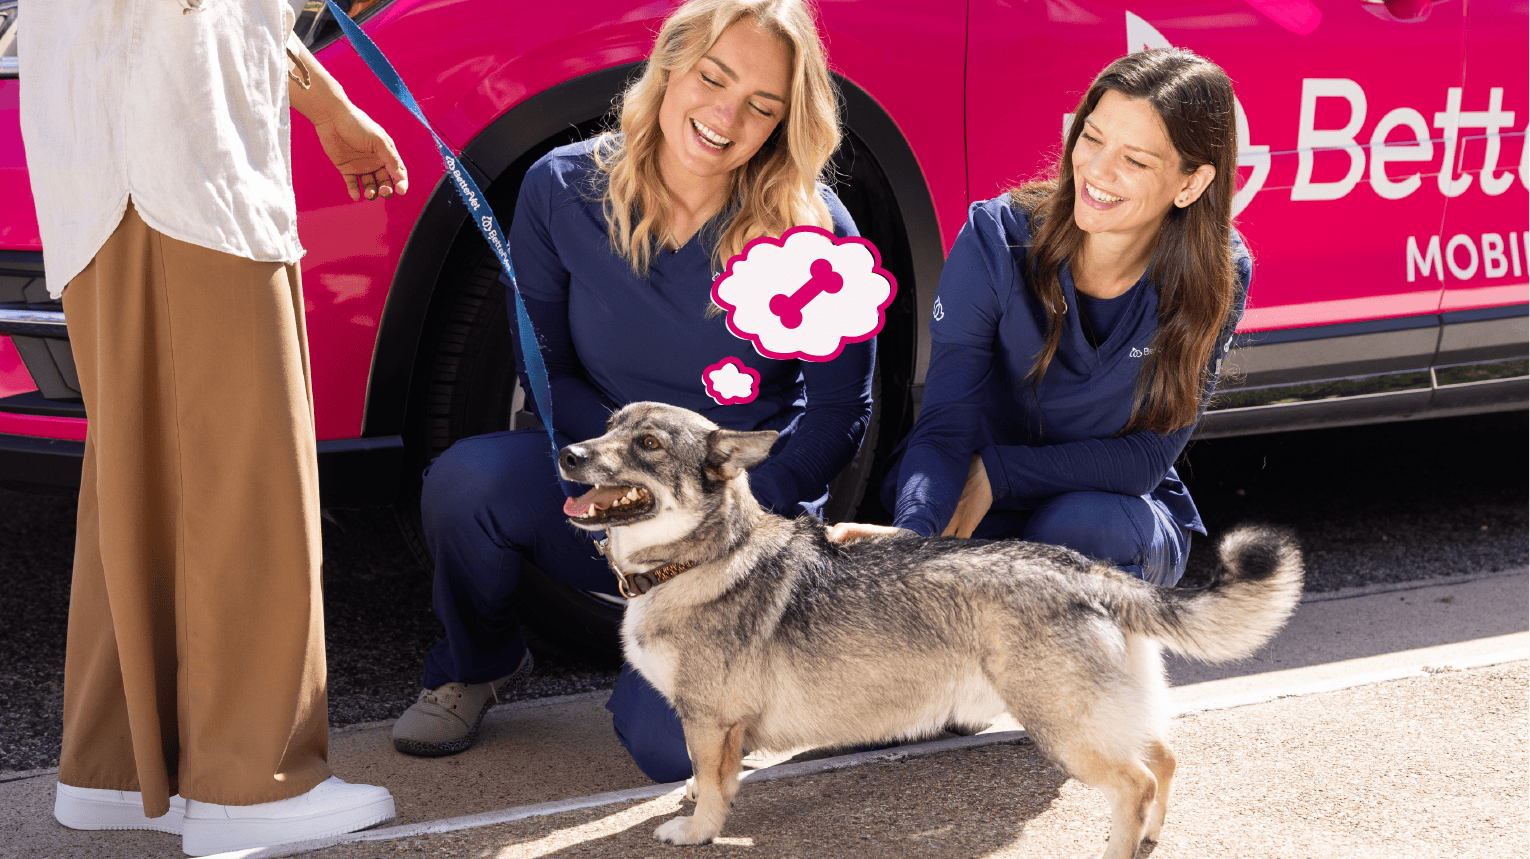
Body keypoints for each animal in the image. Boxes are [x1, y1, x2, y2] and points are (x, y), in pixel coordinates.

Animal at [563, 401, 1303, 857]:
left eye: (648, 444)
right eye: (608, 425)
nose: (568, 452)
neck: (698, 557)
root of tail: (1086, 571)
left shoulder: (710, 719)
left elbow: (716, 786)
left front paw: (698, 829)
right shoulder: (714, 728)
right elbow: (708, 774)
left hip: (1061, 722)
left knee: (1137, 783)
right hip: (1105, 708)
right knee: (1166, 757)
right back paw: (1149, 837)